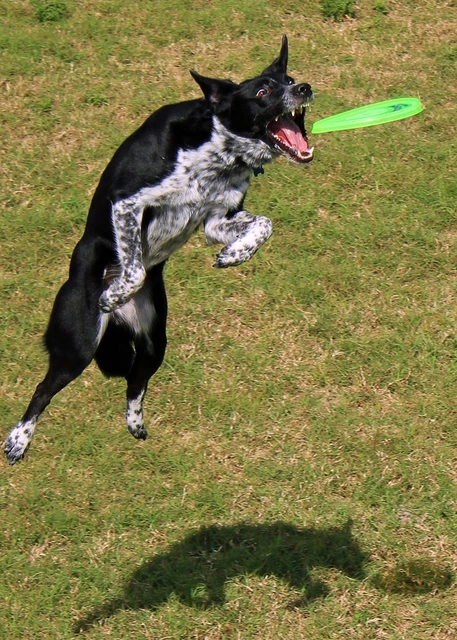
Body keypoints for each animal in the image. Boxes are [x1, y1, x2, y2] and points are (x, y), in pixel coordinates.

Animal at [3, 35, 312, 462]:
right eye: (264, 91)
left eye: (291, 79)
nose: (305, 89)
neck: (216, 149)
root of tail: (120, 323)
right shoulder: (127, 203)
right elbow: (133, 269)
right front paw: (113, 293)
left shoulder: (217, 220)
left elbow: (264, 225)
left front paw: (233, 256)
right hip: (78, 345)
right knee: (42, 390)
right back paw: (18, 440)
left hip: (155, 343)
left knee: (135, 383)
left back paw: (135, 424)